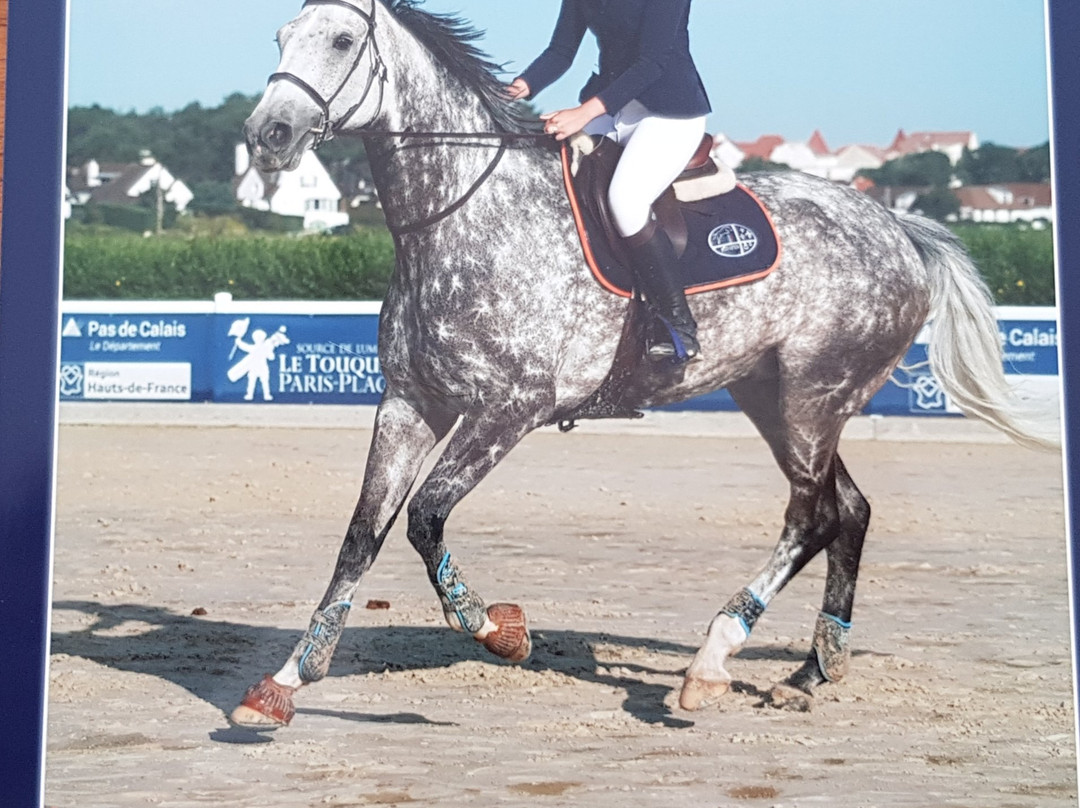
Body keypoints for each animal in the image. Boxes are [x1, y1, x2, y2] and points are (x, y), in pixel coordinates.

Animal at [227, 0, 1045, 730]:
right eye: (280, 36)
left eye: (340, 40)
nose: (267, 134)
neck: (458, 217)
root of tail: (897, 226)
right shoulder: (408, 403)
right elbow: (362, 534)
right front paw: (286, 681)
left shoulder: (510, 409)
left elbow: (425, 519)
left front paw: (499, 629)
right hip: (774, 397)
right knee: (848, 511)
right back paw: (810, 674)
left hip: (815, 395)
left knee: (812, 515)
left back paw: (712, 661)